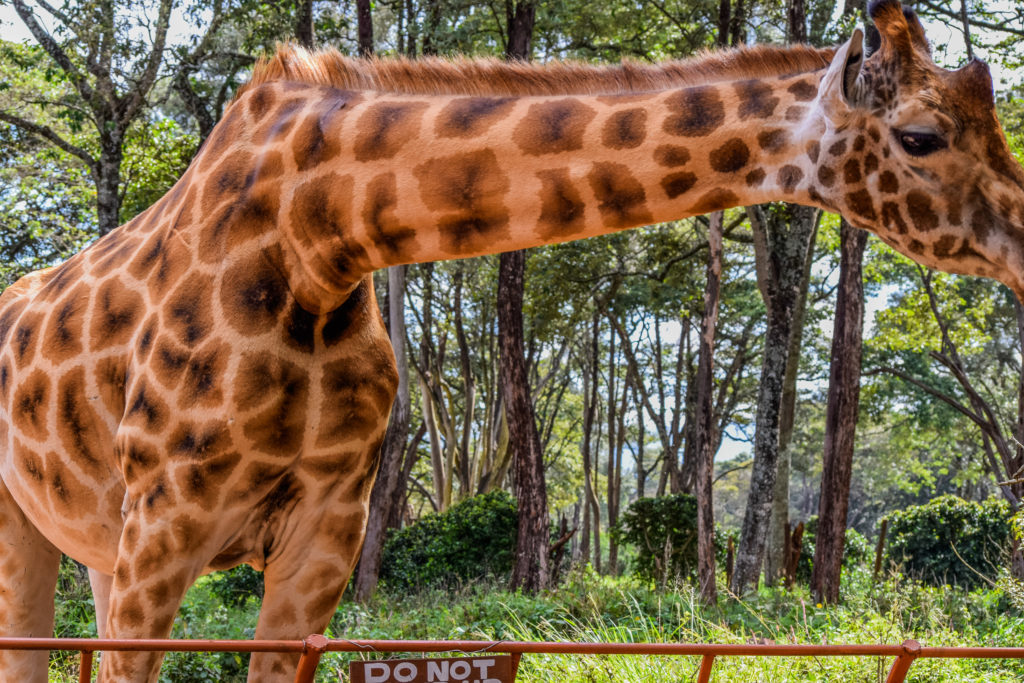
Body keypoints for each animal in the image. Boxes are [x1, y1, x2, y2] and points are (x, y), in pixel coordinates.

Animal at [1, 0, 1022, 680]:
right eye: (922, 135)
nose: (1022, 240)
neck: (319, 236)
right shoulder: (165, 526)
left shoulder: (321, 534)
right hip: (39, 526)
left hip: (97, 541)